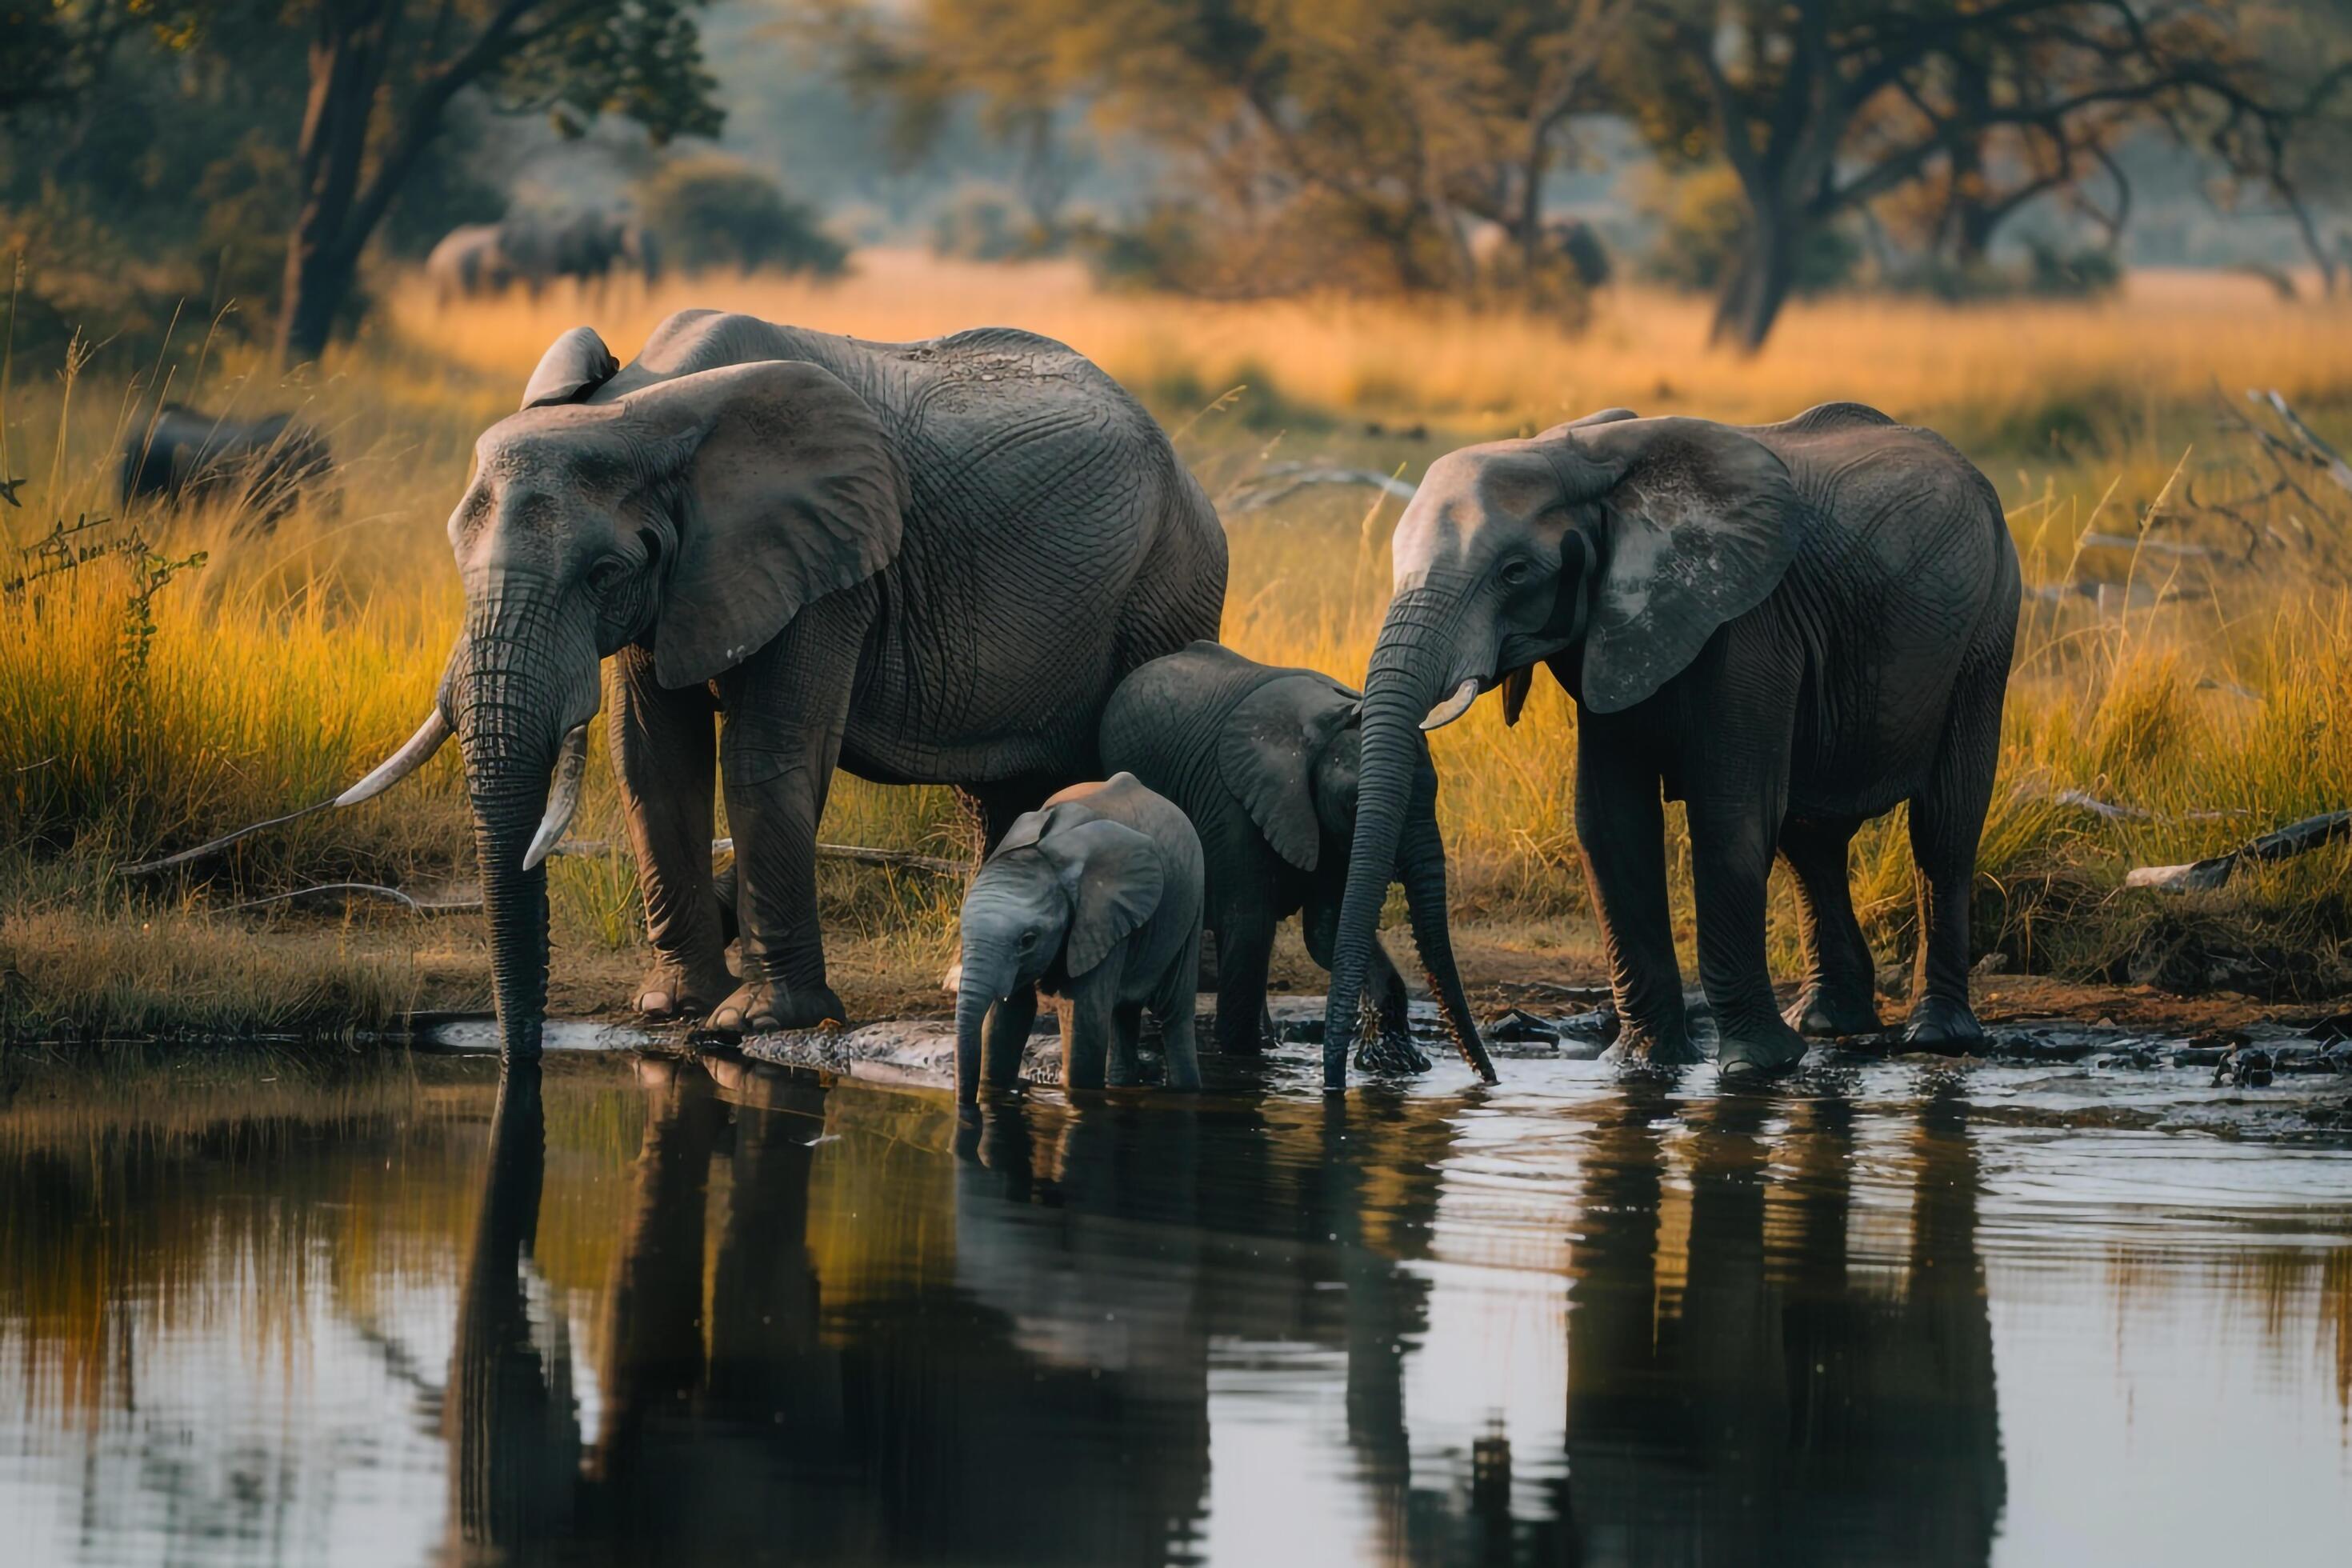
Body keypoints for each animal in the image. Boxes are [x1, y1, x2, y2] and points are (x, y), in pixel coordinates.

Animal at [331, 310, 1232, 1062]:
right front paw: (671, 1006)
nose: (519, 1058)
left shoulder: (827, 565)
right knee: (996, 790)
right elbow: (652, 757)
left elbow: (768, 754)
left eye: (603, 573)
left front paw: (758, 1021)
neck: (647, 405)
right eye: (456, 554)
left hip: (1168, 582)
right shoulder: (683, 584)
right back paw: (960, 977)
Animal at [954, 770, 1214, 1105]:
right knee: (1124, 1014)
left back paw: (1185, 1090)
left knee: (1174, 1014)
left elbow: (1082, 1020)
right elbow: (1007, 1018)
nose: (965, 1106)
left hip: (1191, 903)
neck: (1047, 856)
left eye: (1028, 940)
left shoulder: (1099, 919)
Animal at [1096, 639, 1495, 1081]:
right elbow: (1250, 930)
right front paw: (1243, 1062)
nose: (1488, 1079)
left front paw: (1396, 1064)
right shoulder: (1234, 805)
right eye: (1355, 804)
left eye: (1435, 794)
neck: (1333, 718)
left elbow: (1328, 933)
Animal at [1326, 404, 2022, 1090]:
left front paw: (1753, 1069)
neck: (1579, 456)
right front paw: (1641, 1066)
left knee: (1944, 825)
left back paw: (1935, 1038)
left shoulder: (1747, 622)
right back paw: (1827, 1023)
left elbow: (1728, 816)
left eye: (1515, 572)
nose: (1489, 1078)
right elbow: (1610, 822)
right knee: (1810, 839)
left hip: (1989, 622)